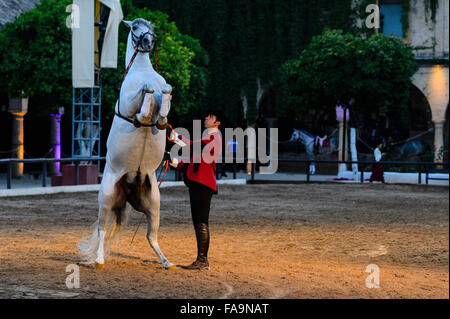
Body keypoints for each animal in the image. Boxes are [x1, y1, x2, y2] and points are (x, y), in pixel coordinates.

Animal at [79, 18, 174, 270]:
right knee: (102, 229)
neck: (143, 71)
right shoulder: (129, 106)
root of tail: (129, 187)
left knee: (151, 237)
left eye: (151, 28)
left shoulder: (164, 105)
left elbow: (166, 97)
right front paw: (148, 98)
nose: (148, 42)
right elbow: (143, 105)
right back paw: (99, 259)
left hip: (153, 204)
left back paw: (166, 261)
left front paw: (162, 105)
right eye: (134, 28)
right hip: (106, 198)